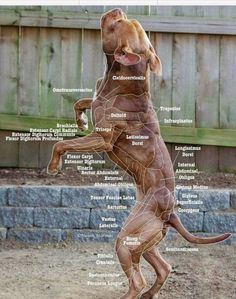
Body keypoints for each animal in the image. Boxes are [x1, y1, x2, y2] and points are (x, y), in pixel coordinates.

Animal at [47, 8, 230, 298]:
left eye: (118, 24)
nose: (117, 10)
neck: (121, 76)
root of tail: (170, 213)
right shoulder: (96, 100)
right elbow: (80, 102)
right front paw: (80, 121)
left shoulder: (102, 140)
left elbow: (61, 144)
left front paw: (54, 166)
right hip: (144, 240)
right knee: (163, 267)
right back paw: (151, 293)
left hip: (127, 240)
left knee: (138, 279)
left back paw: (135, 293)